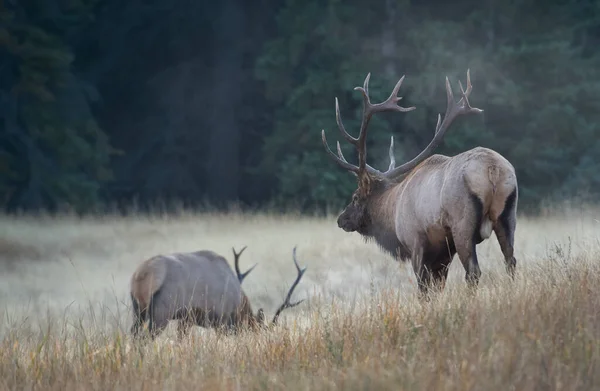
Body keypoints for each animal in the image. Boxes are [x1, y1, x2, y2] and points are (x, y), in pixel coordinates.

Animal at [132, 247, 308, 342]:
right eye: (257, 332)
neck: (238, 305)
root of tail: (142, 274)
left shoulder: (187, 318)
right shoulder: (220, 318)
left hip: (138, 309)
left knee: (133, 336)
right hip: (162, 311)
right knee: (144, 339)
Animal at [322, 70, 516, 298]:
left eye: (355, 197)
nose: (341, 219)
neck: (392, 212)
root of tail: (492, 169)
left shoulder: (416, 242)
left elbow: (423, 288)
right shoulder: (443, 251)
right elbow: (438, 287)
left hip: (462, 223)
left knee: (473, 271)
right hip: (508, 215)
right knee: (510, 261)